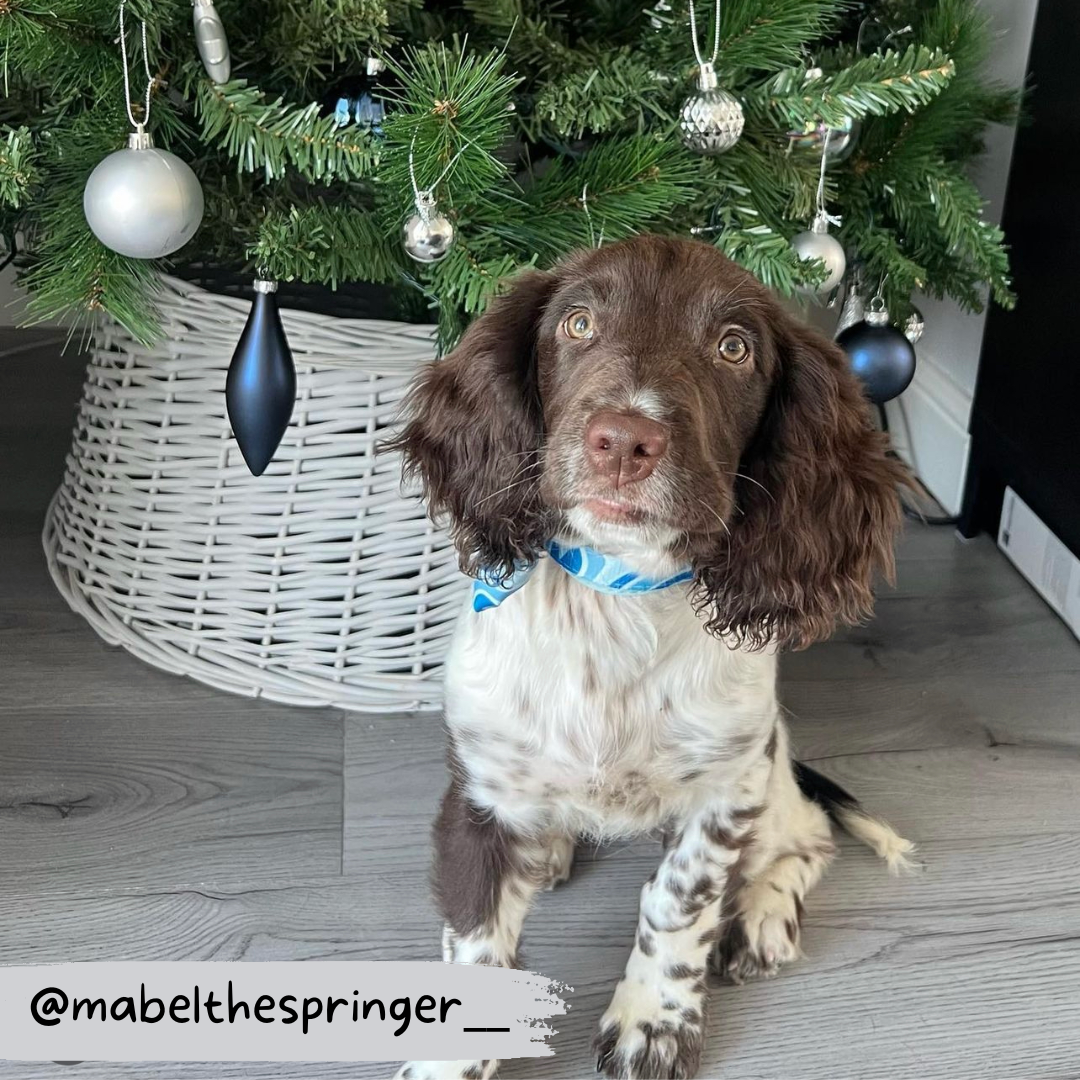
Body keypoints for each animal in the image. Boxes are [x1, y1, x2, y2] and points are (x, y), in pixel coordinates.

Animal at [386, 238, 911, 1080]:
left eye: (734, 348)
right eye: (577, 323)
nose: (625, 441)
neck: (618, 593)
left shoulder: (726, 788)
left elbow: (677, 902)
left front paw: (653, 1022)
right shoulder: (482, 790)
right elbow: (474, 936)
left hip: (769, 770)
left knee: (806, 835)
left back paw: (762, 919)